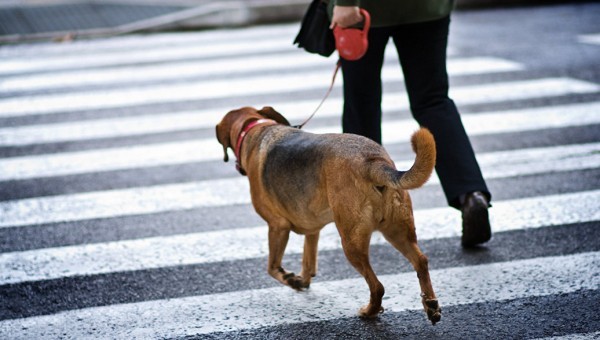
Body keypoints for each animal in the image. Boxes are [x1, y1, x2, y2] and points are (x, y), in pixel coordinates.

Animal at [216, 106, 440, 324]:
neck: (256, 128)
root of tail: (372, 162)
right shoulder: (311, 227)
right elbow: (308, 259)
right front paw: (302, 280)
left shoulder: (277, 226)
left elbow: (272, 267)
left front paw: (290, 279)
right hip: (398, 231)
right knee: (421, 261)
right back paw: (431, 305)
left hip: (351, 243)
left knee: (377, 286)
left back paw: (369, 312)